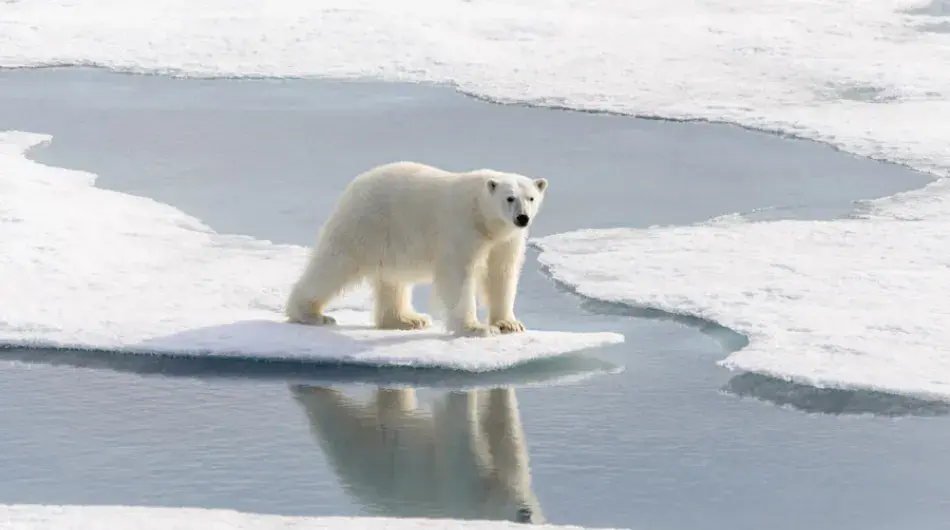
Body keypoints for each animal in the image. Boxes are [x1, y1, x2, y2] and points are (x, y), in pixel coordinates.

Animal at [284, 161, 548, 337]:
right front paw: (477, 328)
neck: (482, 216)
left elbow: (501, 273)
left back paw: (407, 319)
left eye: (531, 197)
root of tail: (355, 184)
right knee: (334, 263)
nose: (522, 218)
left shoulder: (506, 240)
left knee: (392, 280)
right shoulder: (461, 227)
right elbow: (458, 274)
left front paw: (510, 324)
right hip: (366, 223)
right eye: (510, 198)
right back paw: (312, 314)